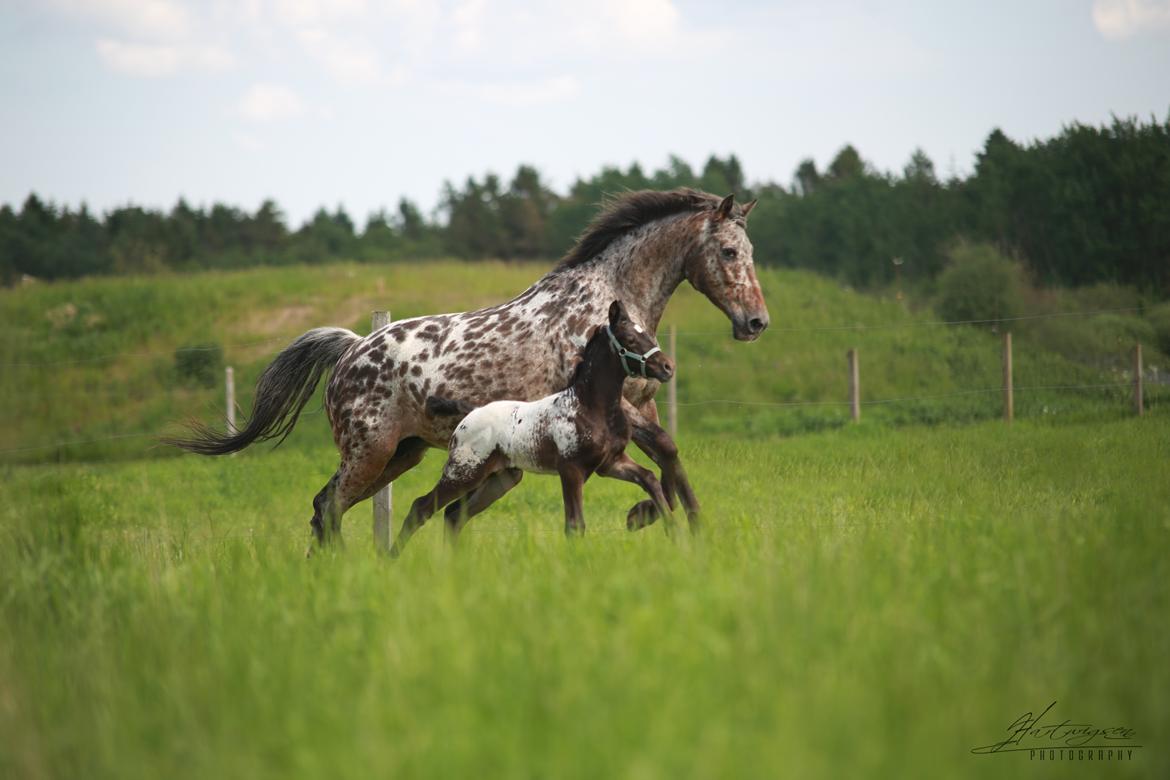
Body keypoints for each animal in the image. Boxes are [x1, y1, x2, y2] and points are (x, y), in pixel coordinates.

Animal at [164, 189, 767, 551]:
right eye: (730, 252)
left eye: (751, 250)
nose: (756, 321)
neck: (607, 301)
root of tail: (353, 348)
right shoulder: (616, 405)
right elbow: (661, 454)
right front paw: (656, 519)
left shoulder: (638, 406)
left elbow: (666, 454)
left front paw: (681, 522)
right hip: (370, 452)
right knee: (332, 507)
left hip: (403, 455)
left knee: (335, 506)